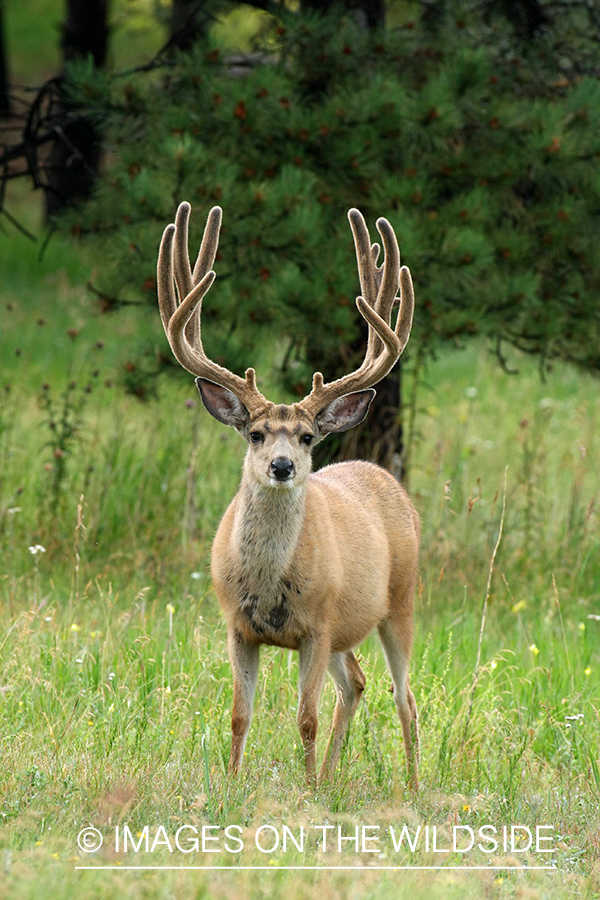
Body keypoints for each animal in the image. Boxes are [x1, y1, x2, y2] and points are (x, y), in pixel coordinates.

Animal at [157, 201, 420, 788]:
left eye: (306, 437)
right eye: (255, 433)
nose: (282, 466)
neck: (268, 582)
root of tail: (387, 478)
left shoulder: (317, 626)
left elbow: (305, 718)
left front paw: (303, 791)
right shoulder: (237, 626)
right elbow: (239, 714)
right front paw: (233, 787)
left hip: (400, 600)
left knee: (405, 698)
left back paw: (415, 788)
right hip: (350, 630)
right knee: (358, 683)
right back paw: (331, 778)